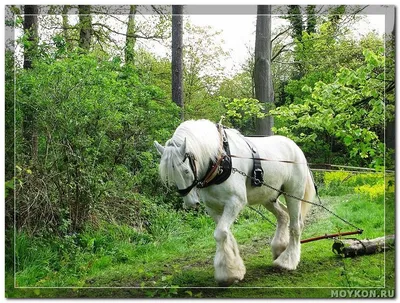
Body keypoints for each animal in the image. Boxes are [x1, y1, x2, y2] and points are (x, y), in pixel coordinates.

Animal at [155, 119, 314, 288]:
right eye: (171, 176)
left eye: (185, 171)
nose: (190, 203)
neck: (219, 160)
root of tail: (295, 147)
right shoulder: (213, 208)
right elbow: (225, 233)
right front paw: (234, 268)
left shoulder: (235, 202)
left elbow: (220, 233)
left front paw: (228, 275)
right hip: (269, 196)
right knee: (283, 216)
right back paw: (280, 249)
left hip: (294, 193)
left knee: (296, 225)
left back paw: (287, 261)